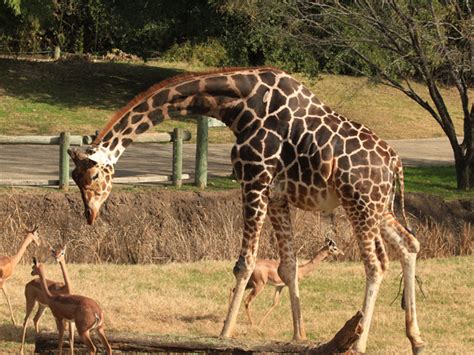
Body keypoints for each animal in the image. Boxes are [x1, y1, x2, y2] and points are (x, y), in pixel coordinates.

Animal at [69, 66, 426, 354]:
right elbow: (288, 267)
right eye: (73, 177)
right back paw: (416, 339)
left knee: (376, 264)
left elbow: (244, 264)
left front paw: (224, 334)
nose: (89, 215)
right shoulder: (278, 194)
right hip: (379, 207)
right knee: (409, 244)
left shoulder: (254, 179)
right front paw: (298, 335)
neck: (238, 106)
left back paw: (361, 342)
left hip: (361, 204)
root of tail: (395, 162)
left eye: (95, 175)